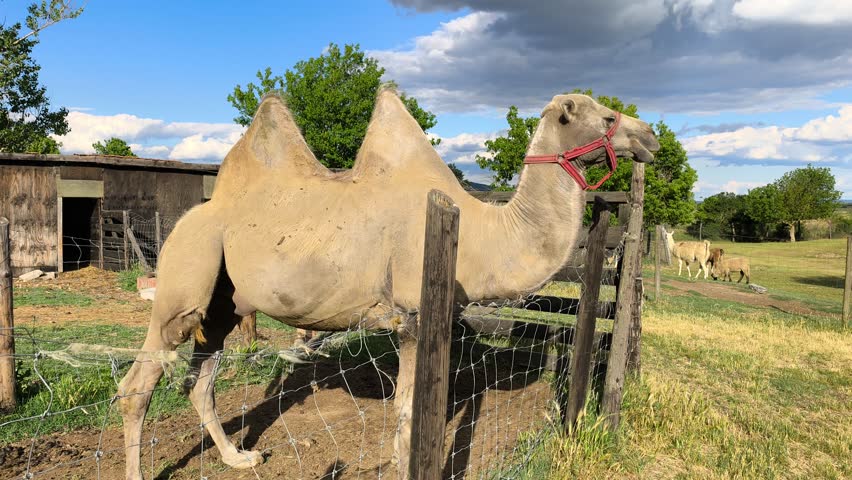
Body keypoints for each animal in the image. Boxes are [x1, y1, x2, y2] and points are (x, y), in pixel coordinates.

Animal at [116, 88, 660, 479]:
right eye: (606, 117)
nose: (651, 136)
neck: (481, 234)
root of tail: (192, 216)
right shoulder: (412, 315)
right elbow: (408, 411)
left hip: (224, 302)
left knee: (200, 378)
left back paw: (240, 458)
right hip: (187, 270)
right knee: (139, 381)